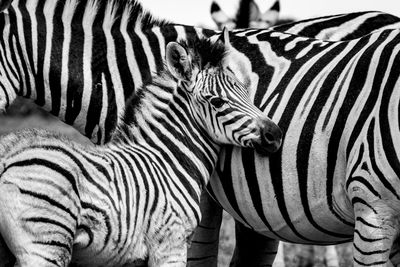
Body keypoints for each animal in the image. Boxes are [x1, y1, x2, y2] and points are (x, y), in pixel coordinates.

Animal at [0, 27, 284, 267]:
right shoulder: (170, 244)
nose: (275, 134)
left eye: (246, 91)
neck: (168, 160)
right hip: (46, 244)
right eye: (216, 102)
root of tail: (8, 154)